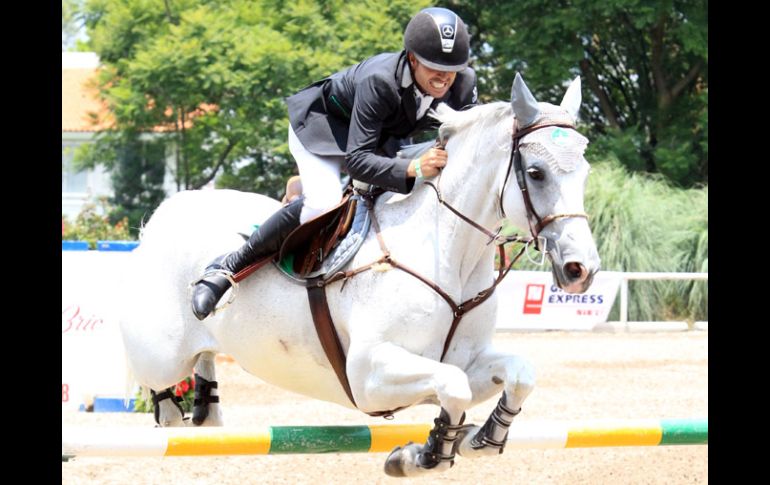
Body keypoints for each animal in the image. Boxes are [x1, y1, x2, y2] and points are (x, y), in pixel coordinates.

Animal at [121, 73, 600, 474]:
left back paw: (206, 402)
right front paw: (422, 456)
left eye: (585, 172)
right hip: (161, 356)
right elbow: (454, 387)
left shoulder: (467, 360)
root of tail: (163, 215)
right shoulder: (369, 375)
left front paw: (477, 438)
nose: (581, 269)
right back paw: (209, 293)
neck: (448, 252)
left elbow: (515, 374)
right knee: (159, 392)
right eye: (535, 173)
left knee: (201, 391)